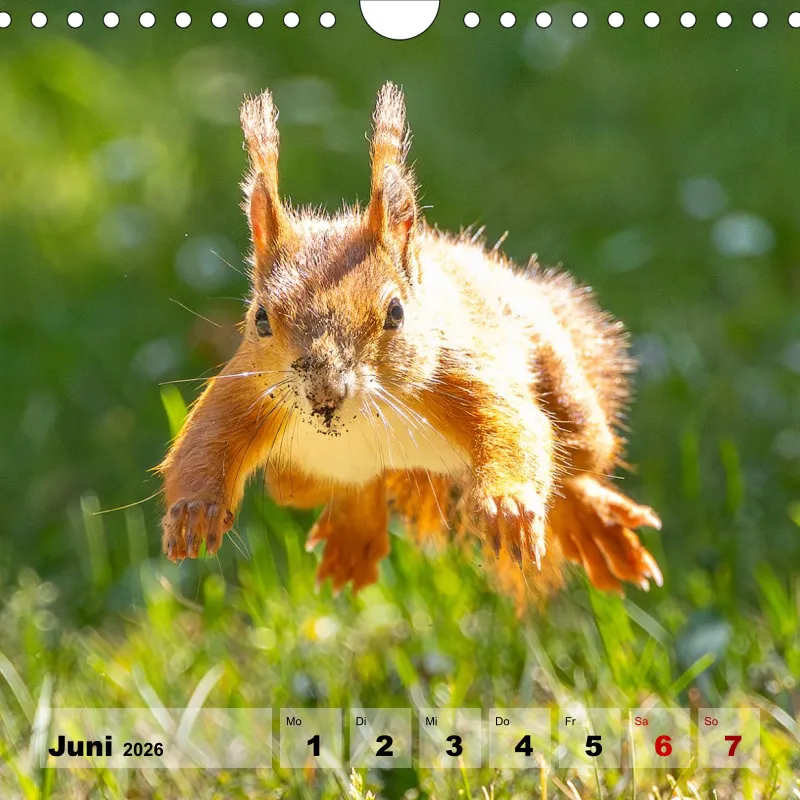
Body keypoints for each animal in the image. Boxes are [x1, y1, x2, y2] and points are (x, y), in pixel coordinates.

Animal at [158, 82, 663, 605]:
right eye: (260, 319)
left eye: (396, 313)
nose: (324, 393)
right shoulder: (245, 391)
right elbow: (202, 443)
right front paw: (194, 511)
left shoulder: (458, 372)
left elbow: (515, 426)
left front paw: (506, 505)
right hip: (294, 482)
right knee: (357, 488)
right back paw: (354, 533)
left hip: (570, 397)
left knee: (575, 466)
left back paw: (594, 524)